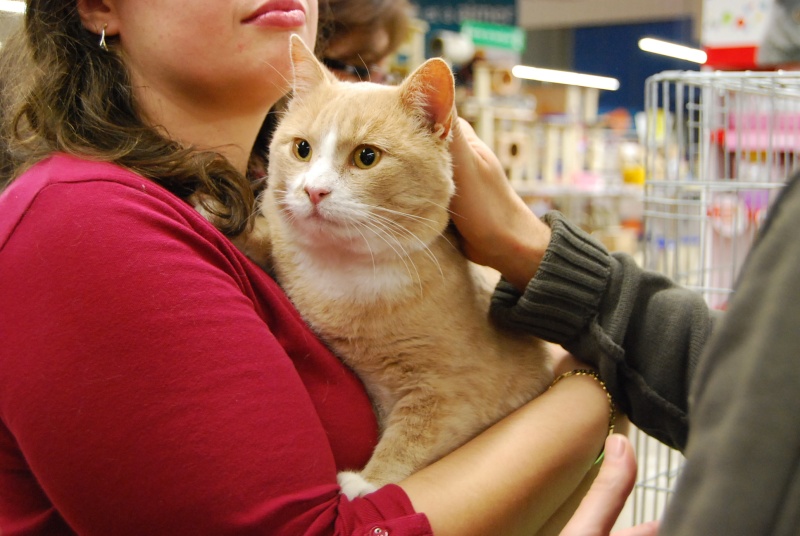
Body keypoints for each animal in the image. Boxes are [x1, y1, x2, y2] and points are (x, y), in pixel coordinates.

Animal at [260, 35, 552, 500]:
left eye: (366, 157)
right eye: (302, 149)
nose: (313, 191)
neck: (344, 270)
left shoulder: (452, 392)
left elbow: (413, 433)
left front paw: (368, 482)